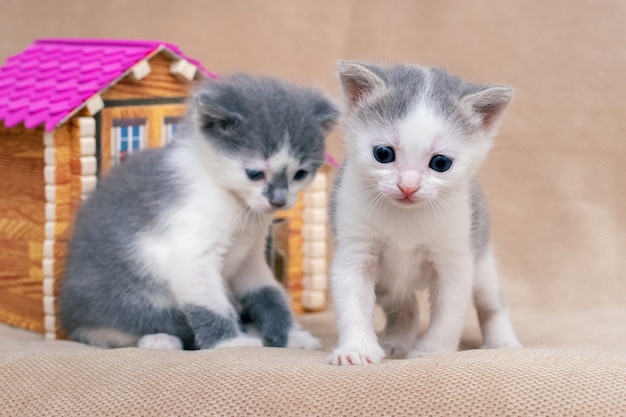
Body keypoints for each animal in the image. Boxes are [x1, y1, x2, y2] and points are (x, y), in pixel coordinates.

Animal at [59, 73, 336, 350]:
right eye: (255, 173)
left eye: (300, 174)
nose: (279, 201)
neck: (236, 204)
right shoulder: (190, 254)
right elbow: (209, 305)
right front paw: (232, 342)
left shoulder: (250, 257)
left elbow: (269, 292)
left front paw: (291, 335)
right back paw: (159, 339)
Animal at [330, 61, 520, 364]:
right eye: (383, 154)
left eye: (440, 163)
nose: (408, 186)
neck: (406, 219)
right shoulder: (354, 251)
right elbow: (353, 301)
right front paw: (356, 349)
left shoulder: (455, 258)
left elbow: (449, 312)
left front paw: (433, 351)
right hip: (389, 283)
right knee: (404, 304)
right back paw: (397, 340)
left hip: (482, 255)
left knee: (492, 300)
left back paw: (502, 340)